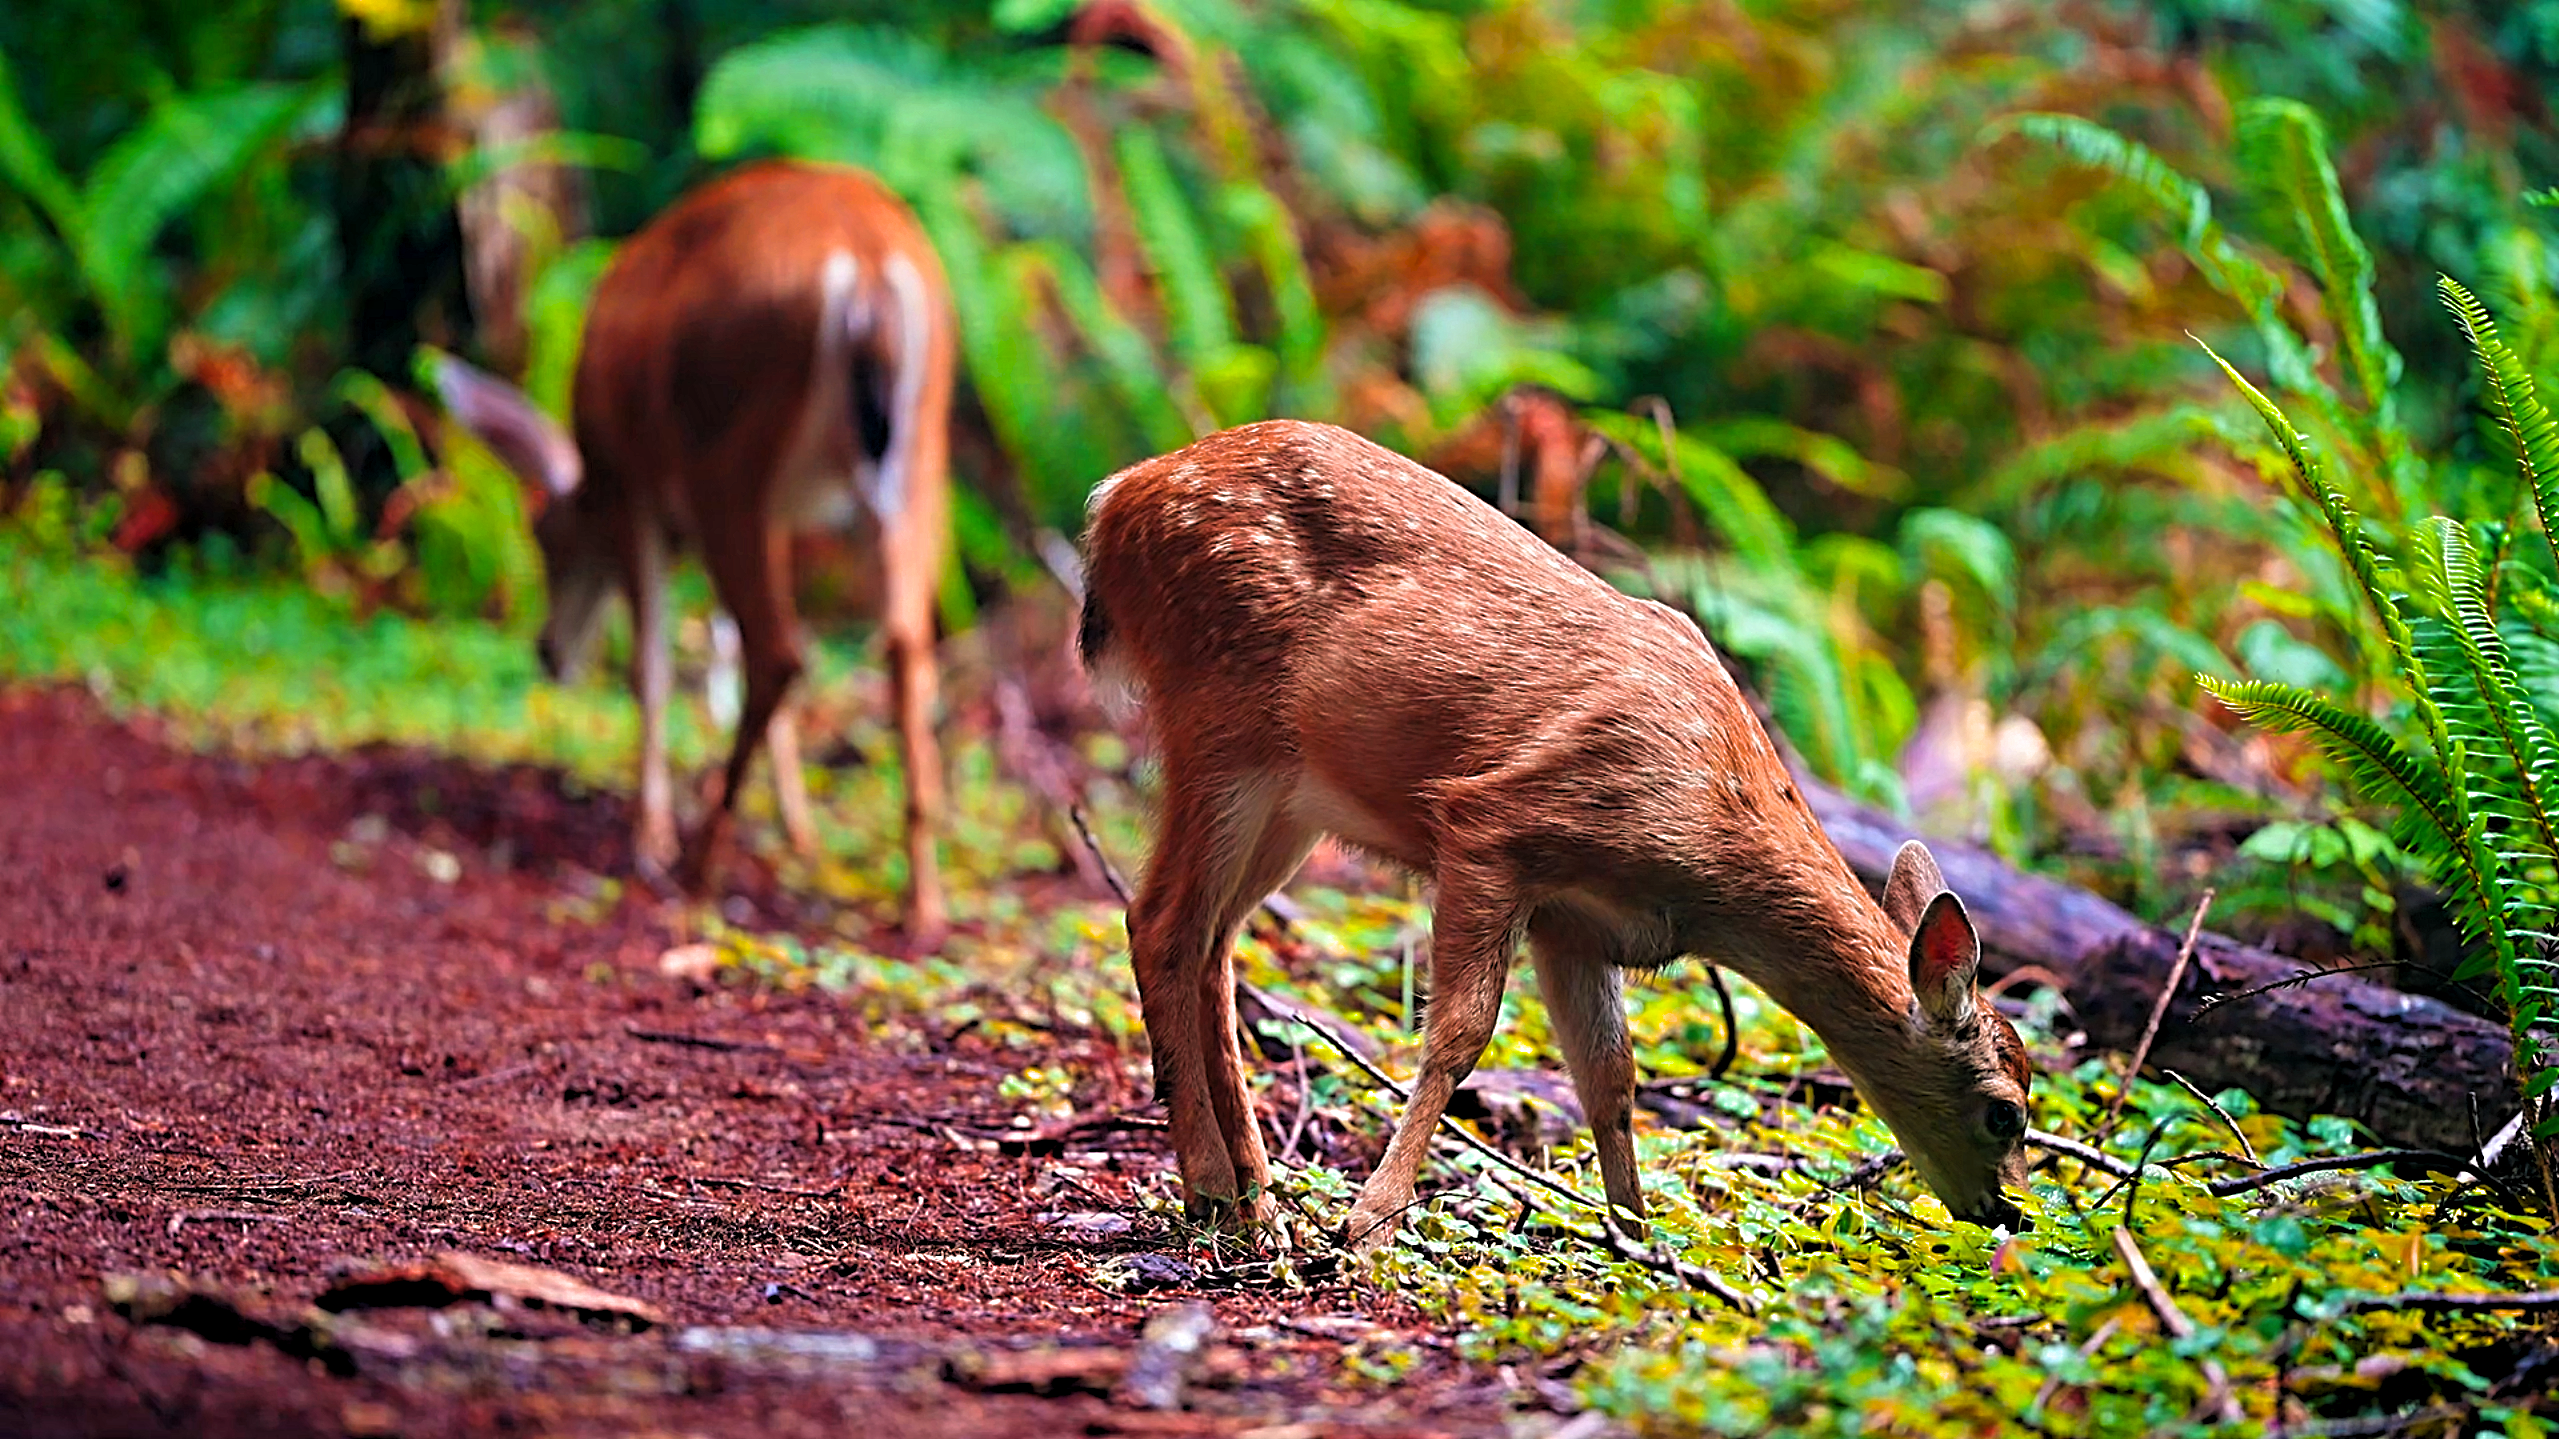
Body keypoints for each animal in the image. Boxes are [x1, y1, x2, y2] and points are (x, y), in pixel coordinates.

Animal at [432, 160, 955, 943]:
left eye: (546, 537)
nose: (548, 652)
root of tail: (863, 259)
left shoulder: (634, 487)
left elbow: (650, 664)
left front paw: (649, 832)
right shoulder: (778, 514)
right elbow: (719, 648)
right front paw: (799, 832)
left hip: (727, 451)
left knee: (781, 650)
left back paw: (699, 861)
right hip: (917, 457)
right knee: (902, 647)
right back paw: (922, 900)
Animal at [1077, 419, 2033, 1249]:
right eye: (2004, 1109)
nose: (2011, 1214)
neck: (1710, 848)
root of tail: (1114, 500)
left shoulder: (1576, 921)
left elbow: (1610, 1078)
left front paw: (1638, 1236)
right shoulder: (1496, 825)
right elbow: (1461, 1034)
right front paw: (1371, 1221)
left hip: (1292, 798)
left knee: (1212, 942)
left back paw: (1255, 1200)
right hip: (1219, 721)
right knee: (1159, 923)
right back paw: (1214, 1189)